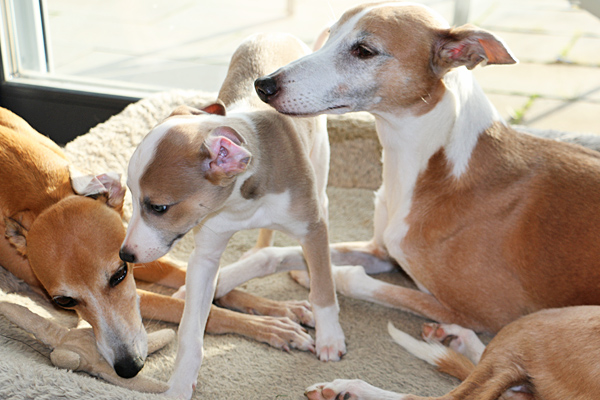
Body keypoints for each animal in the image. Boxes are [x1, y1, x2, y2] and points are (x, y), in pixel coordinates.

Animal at [0, 106, 316, 378]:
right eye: (63, 301)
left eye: (119, 274)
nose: (129, 367)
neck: (43, 196)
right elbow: (183, 307)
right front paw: (267, 326)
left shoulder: (135, 252)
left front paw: (280, 309)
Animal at [120, 32, 346, 398]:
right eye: (132, 196)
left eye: (159, 207)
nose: (125, 255)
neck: (242, 201)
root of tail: (278, 33)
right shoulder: (205, 257)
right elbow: (190, 330)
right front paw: (180, 382)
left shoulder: (312, 229)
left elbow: (323, 287)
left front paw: (330, 338)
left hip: (321, 161)